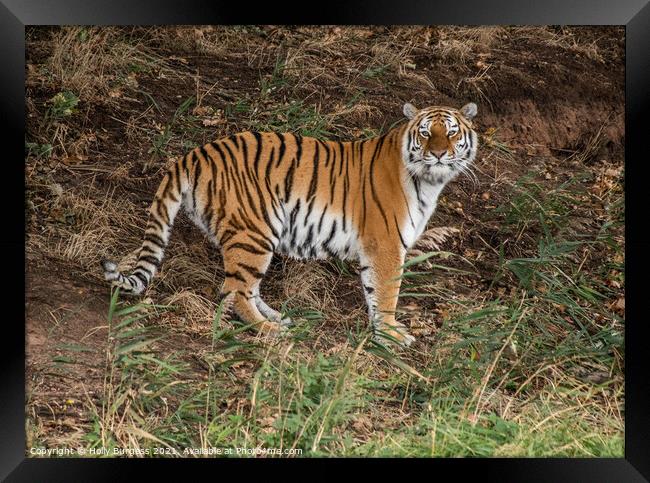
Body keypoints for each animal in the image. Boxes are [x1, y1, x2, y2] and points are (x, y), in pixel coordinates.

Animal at [101, 100, 476, 346]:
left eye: (451, 133)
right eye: (426, 133)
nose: (438, 154)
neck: (429, 181)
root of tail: (193, 154)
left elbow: (374, 291)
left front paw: (381, 331)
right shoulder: (385, 245)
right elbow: (387, 292)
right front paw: (392, 334)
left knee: (246, 287)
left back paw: (277, 318)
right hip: (256, 231)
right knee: (233, 291)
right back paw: (269, 331)